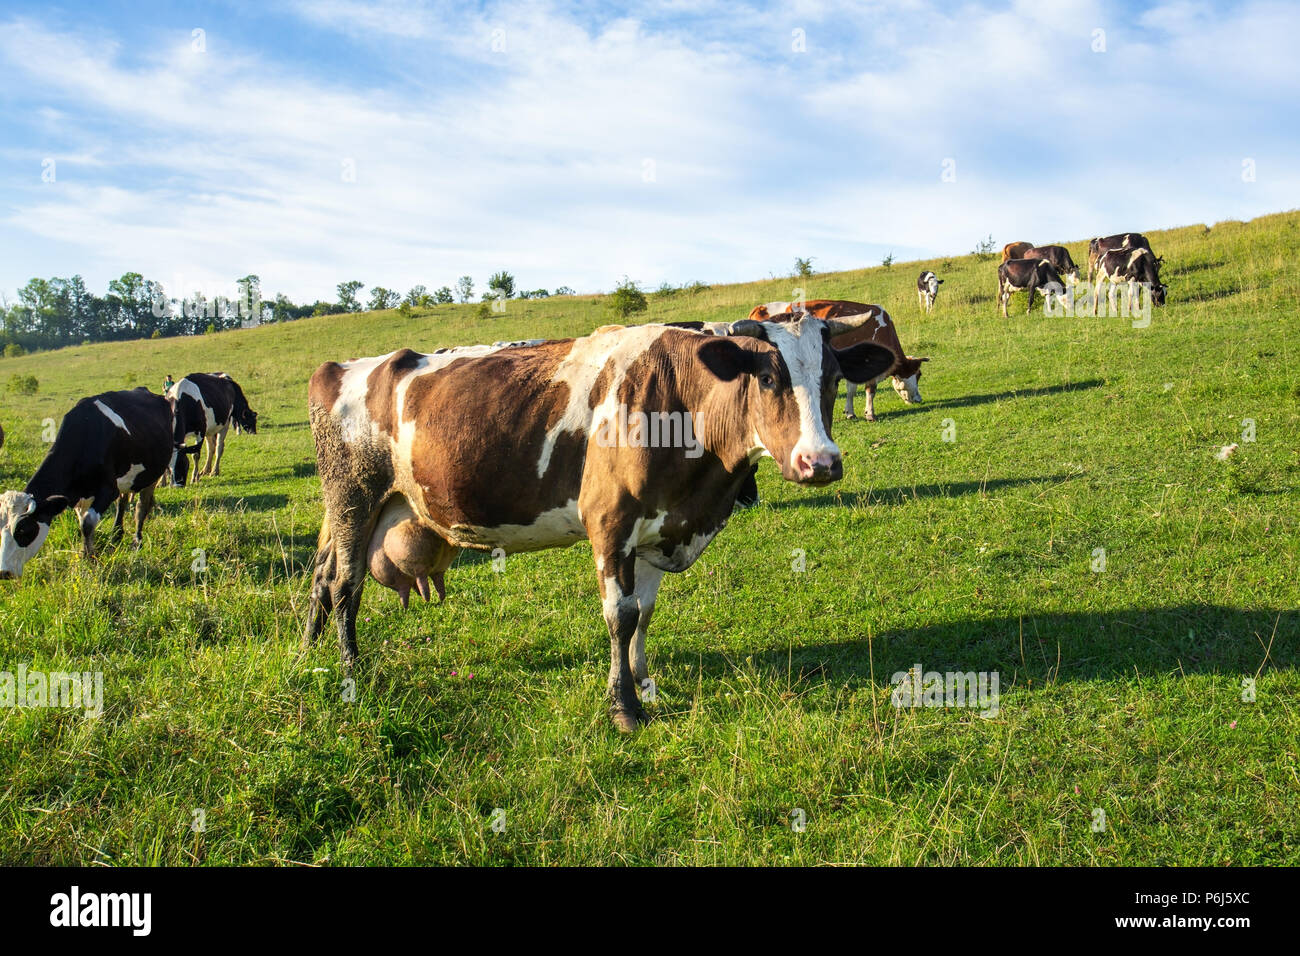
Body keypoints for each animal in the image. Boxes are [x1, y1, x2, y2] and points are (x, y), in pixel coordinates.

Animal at [0, 388, 175, 580]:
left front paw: (91, 559)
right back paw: (116, 535)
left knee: (141, 507)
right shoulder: (78, 495)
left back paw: (137, 541)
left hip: (153, 473)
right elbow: (82, 522)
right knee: (122, 502)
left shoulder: (108, 490)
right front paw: (86, 554)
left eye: (24, 530)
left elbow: (87, 523)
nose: (4, 572)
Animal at [302, 316, 897, 731]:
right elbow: (621, 615)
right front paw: (624, 706)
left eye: (833, 377)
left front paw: (644, 682)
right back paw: (351, 669)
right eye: (771, 377)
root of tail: (342, 366)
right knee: (346, 583)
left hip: (362, 509)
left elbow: (645, 613)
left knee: (322, 576)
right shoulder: (611, 524)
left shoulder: (658, 531)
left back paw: (309, 653)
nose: (821, 462)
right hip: (354, 499)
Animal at [748, 300, 929, 422]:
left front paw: (850, 412)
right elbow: (870, 390)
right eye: (918, 375)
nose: (919, 399)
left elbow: (851, 389)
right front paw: (870, 413)